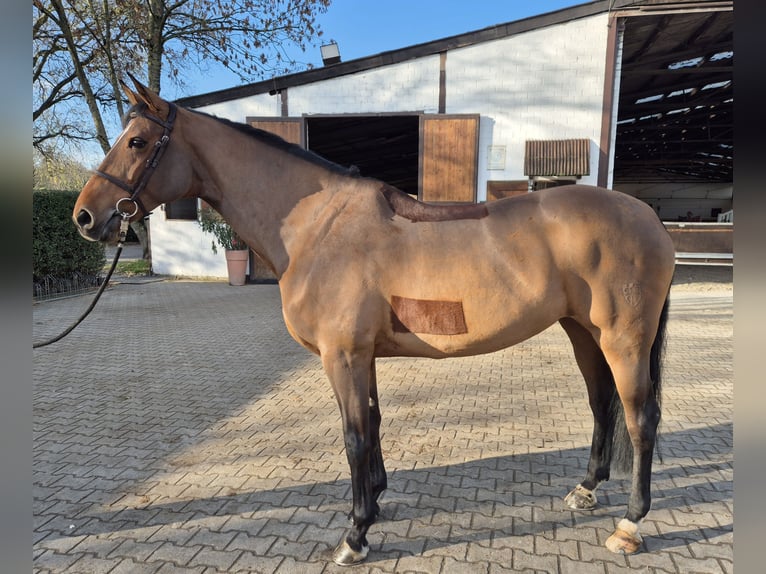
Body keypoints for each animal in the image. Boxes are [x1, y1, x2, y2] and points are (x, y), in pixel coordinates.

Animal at [73, 77, 675, 565]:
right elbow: (375, 422)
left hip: (623, 340)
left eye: (137, 141)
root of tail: (648, 217)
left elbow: (354, 436)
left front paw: (355, 535)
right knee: (602, 404)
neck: (316, 227)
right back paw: (586, 490)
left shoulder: (342, 356)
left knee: (641, 418)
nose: (84, 217)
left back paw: (630, 524)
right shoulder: (364, 355)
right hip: (583, 332)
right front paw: (378, 501)